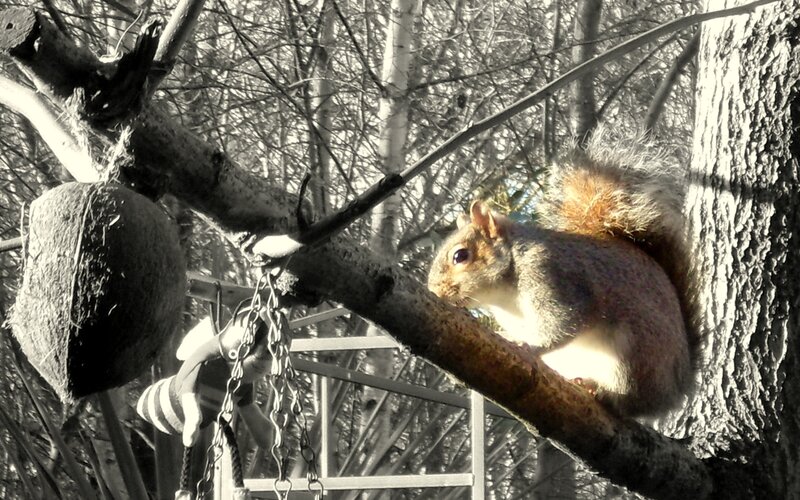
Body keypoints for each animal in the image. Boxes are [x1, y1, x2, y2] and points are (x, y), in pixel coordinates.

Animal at [427, 129, 700, 417]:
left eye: (460, 256)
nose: (435, 291)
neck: (503, 294)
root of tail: (677, 387)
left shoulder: (550, 275)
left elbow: (564, 321)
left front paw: (527, 347)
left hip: (635, 355)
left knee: (630, 401)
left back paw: (601, 389)